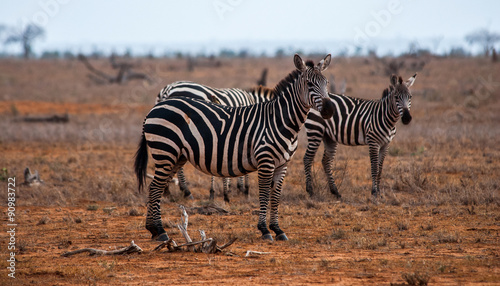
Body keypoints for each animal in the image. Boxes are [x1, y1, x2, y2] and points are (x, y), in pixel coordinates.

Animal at [135, 53, 334, 241]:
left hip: (176, 156)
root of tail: (157, 105)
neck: (279, 121)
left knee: (156, 187)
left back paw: (153, 229)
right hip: (165, 151)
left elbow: (276, 196)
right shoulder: (265, 161)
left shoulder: (282, 164)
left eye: (326, 83)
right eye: (309, 84)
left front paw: (277, 229)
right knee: (155, 187)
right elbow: (264, 194)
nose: (329, 110)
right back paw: (160, 231)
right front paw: (264, 230)